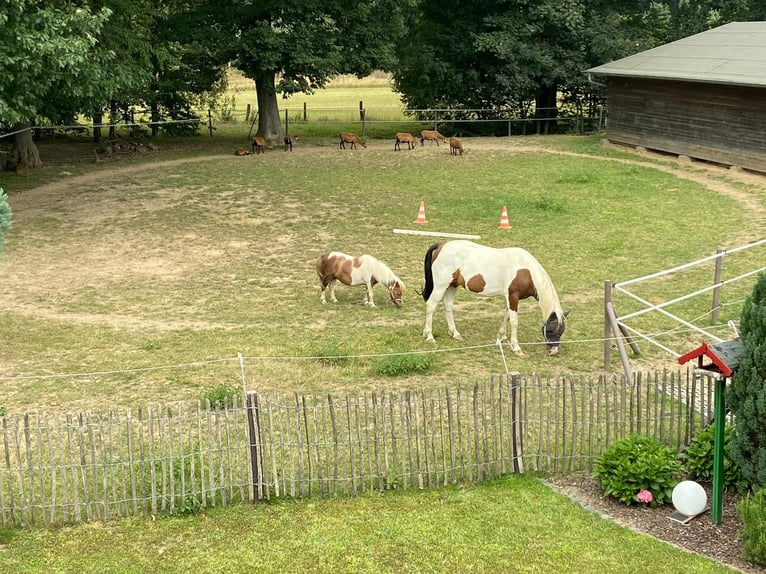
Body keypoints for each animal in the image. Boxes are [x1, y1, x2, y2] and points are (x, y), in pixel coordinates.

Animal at [420, 240, 568, 356]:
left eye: (562, 331)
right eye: (550, 330)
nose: (553, 351)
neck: (526, 271)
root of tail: (441, 246)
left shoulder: (511, 298)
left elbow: (507, 316)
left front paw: (502, 337)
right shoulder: (513, 295)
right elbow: (514, 321)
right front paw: (516, 348)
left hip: (452, 285)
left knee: (448, 306)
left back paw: (455, 333)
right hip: (441, 286)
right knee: (431, 305)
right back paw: (429, 336)